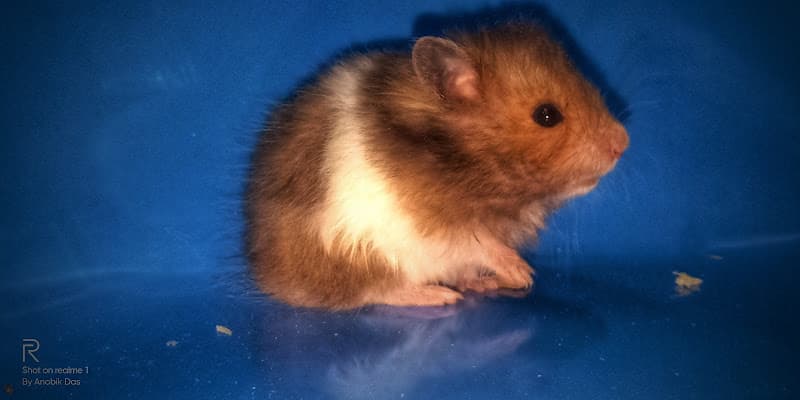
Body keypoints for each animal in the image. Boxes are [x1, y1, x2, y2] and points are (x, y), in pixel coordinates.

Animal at [245, 22, 628, 310]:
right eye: (547, 115)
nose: (623, 143)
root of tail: (270, 275)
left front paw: (505, 280)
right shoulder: (434, 227)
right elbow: (482, 244)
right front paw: (523, 273)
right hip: (360, 258)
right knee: (380, 290)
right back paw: (439, 296)